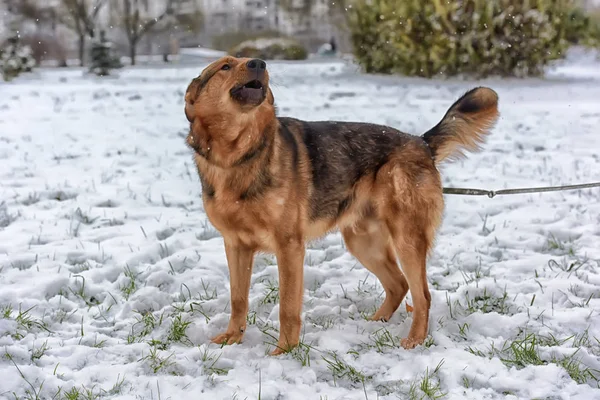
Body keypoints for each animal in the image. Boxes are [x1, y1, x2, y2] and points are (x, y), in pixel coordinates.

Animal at [184, 56, 502, 356]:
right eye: (225, 66)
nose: (260, 63)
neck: (238, 156)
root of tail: (421, 143)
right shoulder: (235, 245)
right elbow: (238, 298)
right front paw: (233, 338)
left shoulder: (289, 246)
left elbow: (288, 306)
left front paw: (285, 350)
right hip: (362, 243)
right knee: (399, 284)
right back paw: (376, 324)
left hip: (407, 239)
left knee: (422, 294)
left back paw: (414, 340)